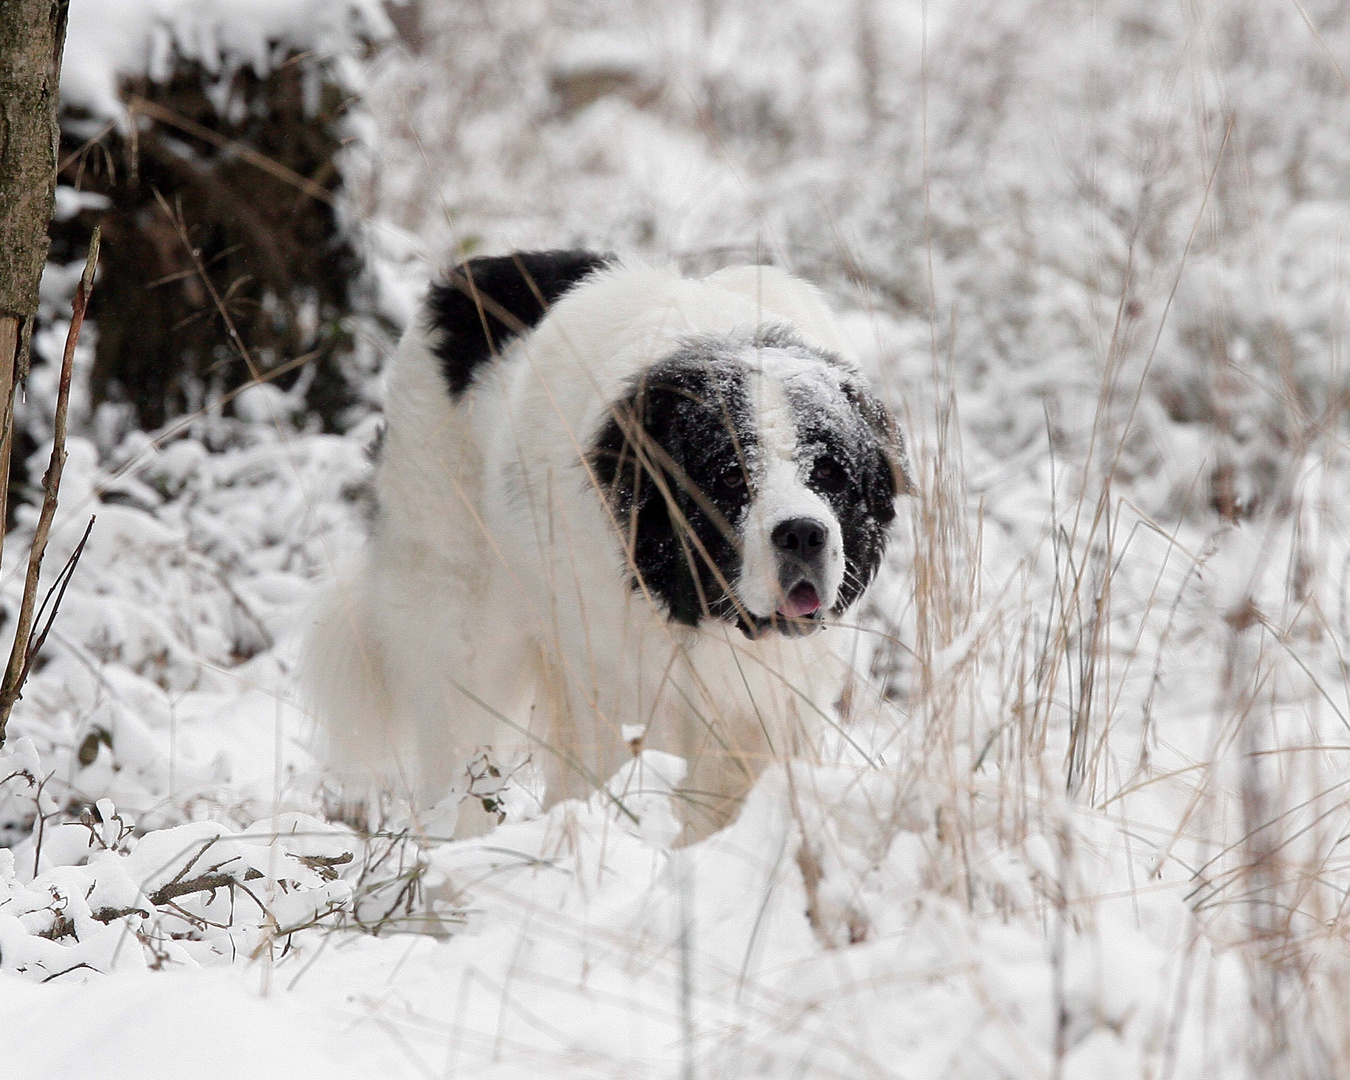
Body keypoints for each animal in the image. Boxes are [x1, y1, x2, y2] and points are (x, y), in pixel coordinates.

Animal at [306, 255, 912, 842]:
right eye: (732, 477)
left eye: (829, 472)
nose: (802, 533)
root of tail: (461, 281)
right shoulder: (624, 685)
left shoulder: (780, 698)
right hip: (460, 614)